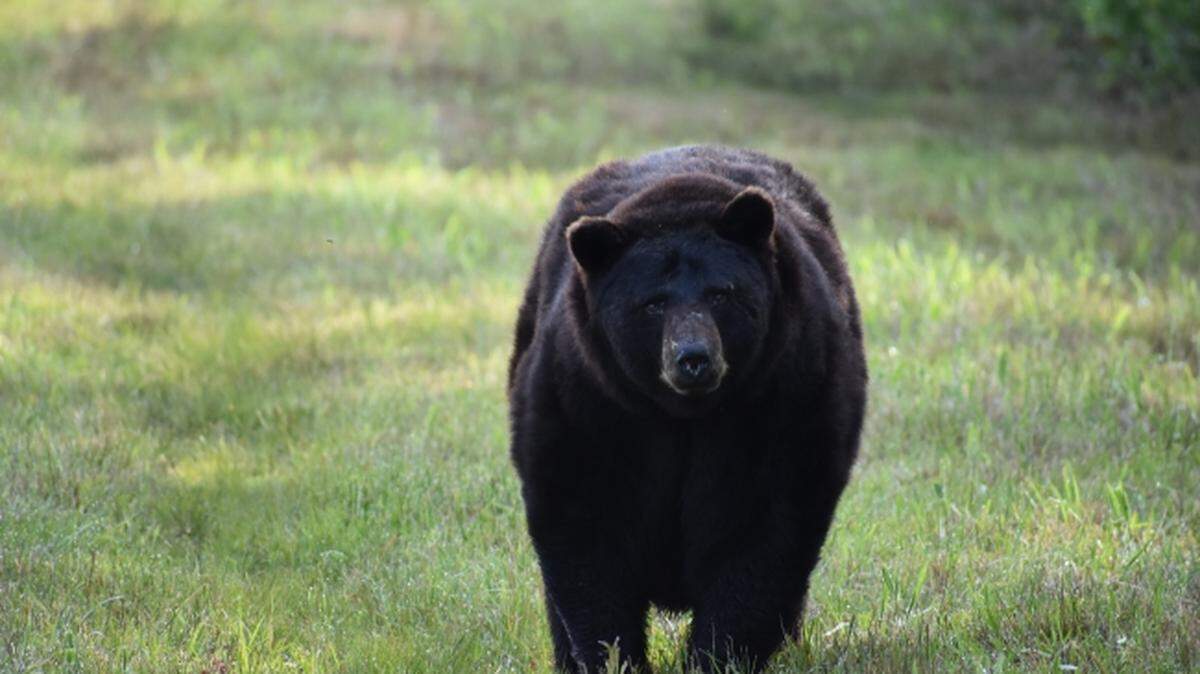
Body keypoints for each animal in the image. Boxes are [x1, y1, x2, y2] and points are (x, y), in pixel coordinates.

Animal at [507, 145, 867, 672]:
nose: (693, 358)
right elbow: (585, 532)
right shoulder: (587, 401)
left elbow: (762, 532)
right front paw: (610, 657)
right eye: (652, 303)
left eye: (722, 293)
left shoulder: (785, 397)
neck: (682, 416)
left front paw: (719, 655)